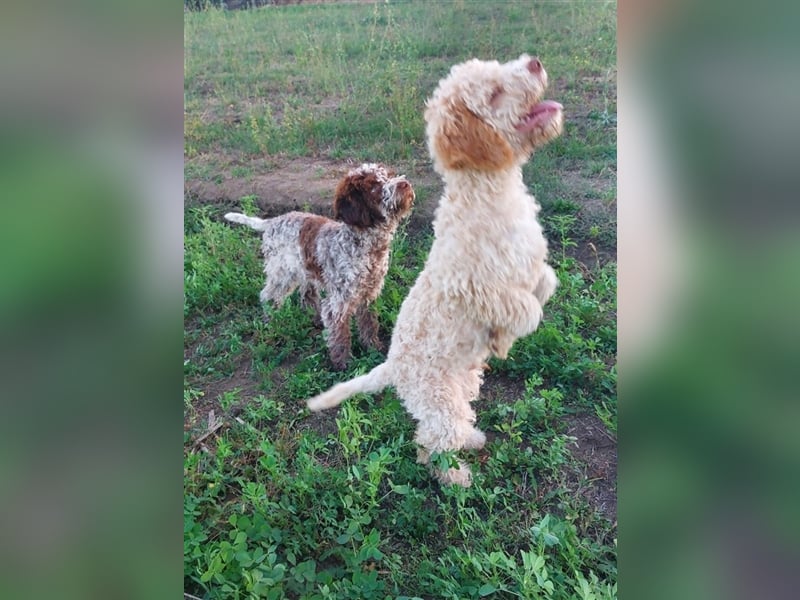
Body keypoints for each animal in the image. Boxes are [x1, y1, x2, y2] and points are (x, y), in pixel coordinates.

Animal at [223, 164, 412, 370]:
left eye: (389, 176)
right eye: (374, 187)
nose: (404, 183)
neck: (365, 246)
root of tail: (272, 222)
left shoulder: (369, 293)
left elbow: (369, 323)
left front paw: (373, 347)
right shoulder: (338, 302)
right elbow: (340, 335)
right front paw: (343, 364)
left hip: (305, 271)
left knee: (306, 295)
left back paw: (314, 319)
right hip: (282, 273)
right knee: (268, 295)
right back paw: (270, 320)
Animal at [306, 55, 564, 488]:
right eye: (494, 92)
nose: (534, 62)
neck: (487, 193)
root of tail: (392, 366)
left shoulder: (529, 266)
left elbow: (545, 282)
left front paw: (504, 337)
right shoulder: (475, 285)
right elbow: (525, 309)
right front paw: (505, 338)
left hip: (463, 385)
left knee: (442, 432)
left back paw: (473, 439)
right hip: (439, 402)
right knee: (429, 444)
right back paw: (457, 476)